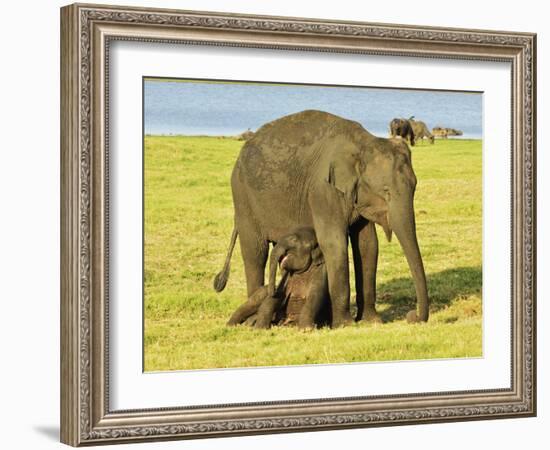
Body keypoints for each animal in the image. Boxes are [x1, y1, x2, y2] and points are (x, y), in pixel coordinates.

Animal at [213, 110, 430, 326]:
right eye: (386, 191)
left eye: (415, 186)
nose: (412, 316)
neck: (362, 142)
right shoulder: (322, 190)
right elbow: (334, 243)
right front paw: (345, 324)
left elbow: (367, 244)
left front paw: (371, 321)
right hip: (243, 198)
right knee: (255, 252)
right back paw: (253, 321)